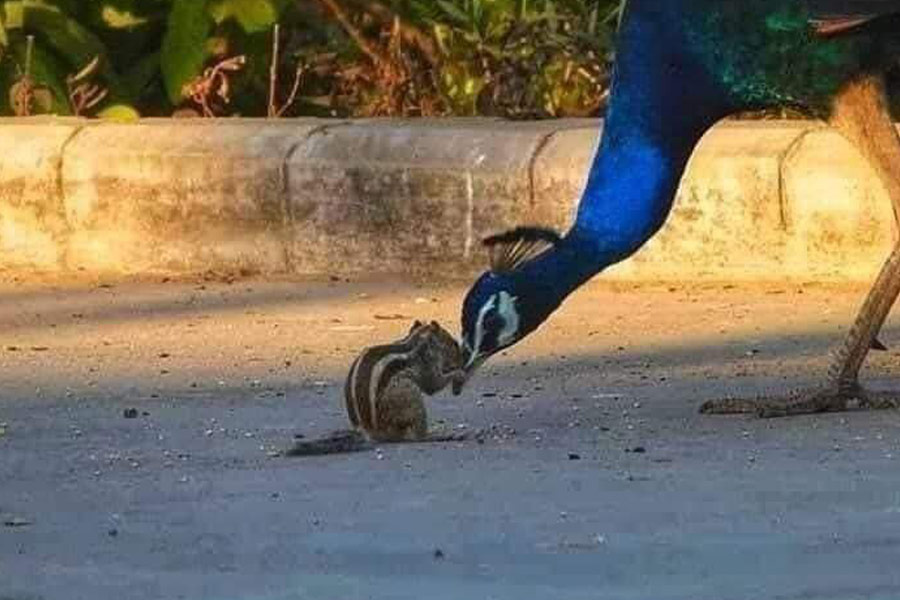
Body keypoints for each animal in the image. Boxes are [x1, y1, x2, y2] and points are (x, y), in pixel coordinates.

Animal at [285, 320, 466, 456]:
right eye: (453, 343)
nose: (461, 359)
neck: (416, 341)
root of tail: (370, 432)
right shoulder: (427, 363)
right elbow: (432, 385)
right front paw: (459, 373)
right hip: (408, 395)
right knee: (417, 436)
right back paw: (440, 434)